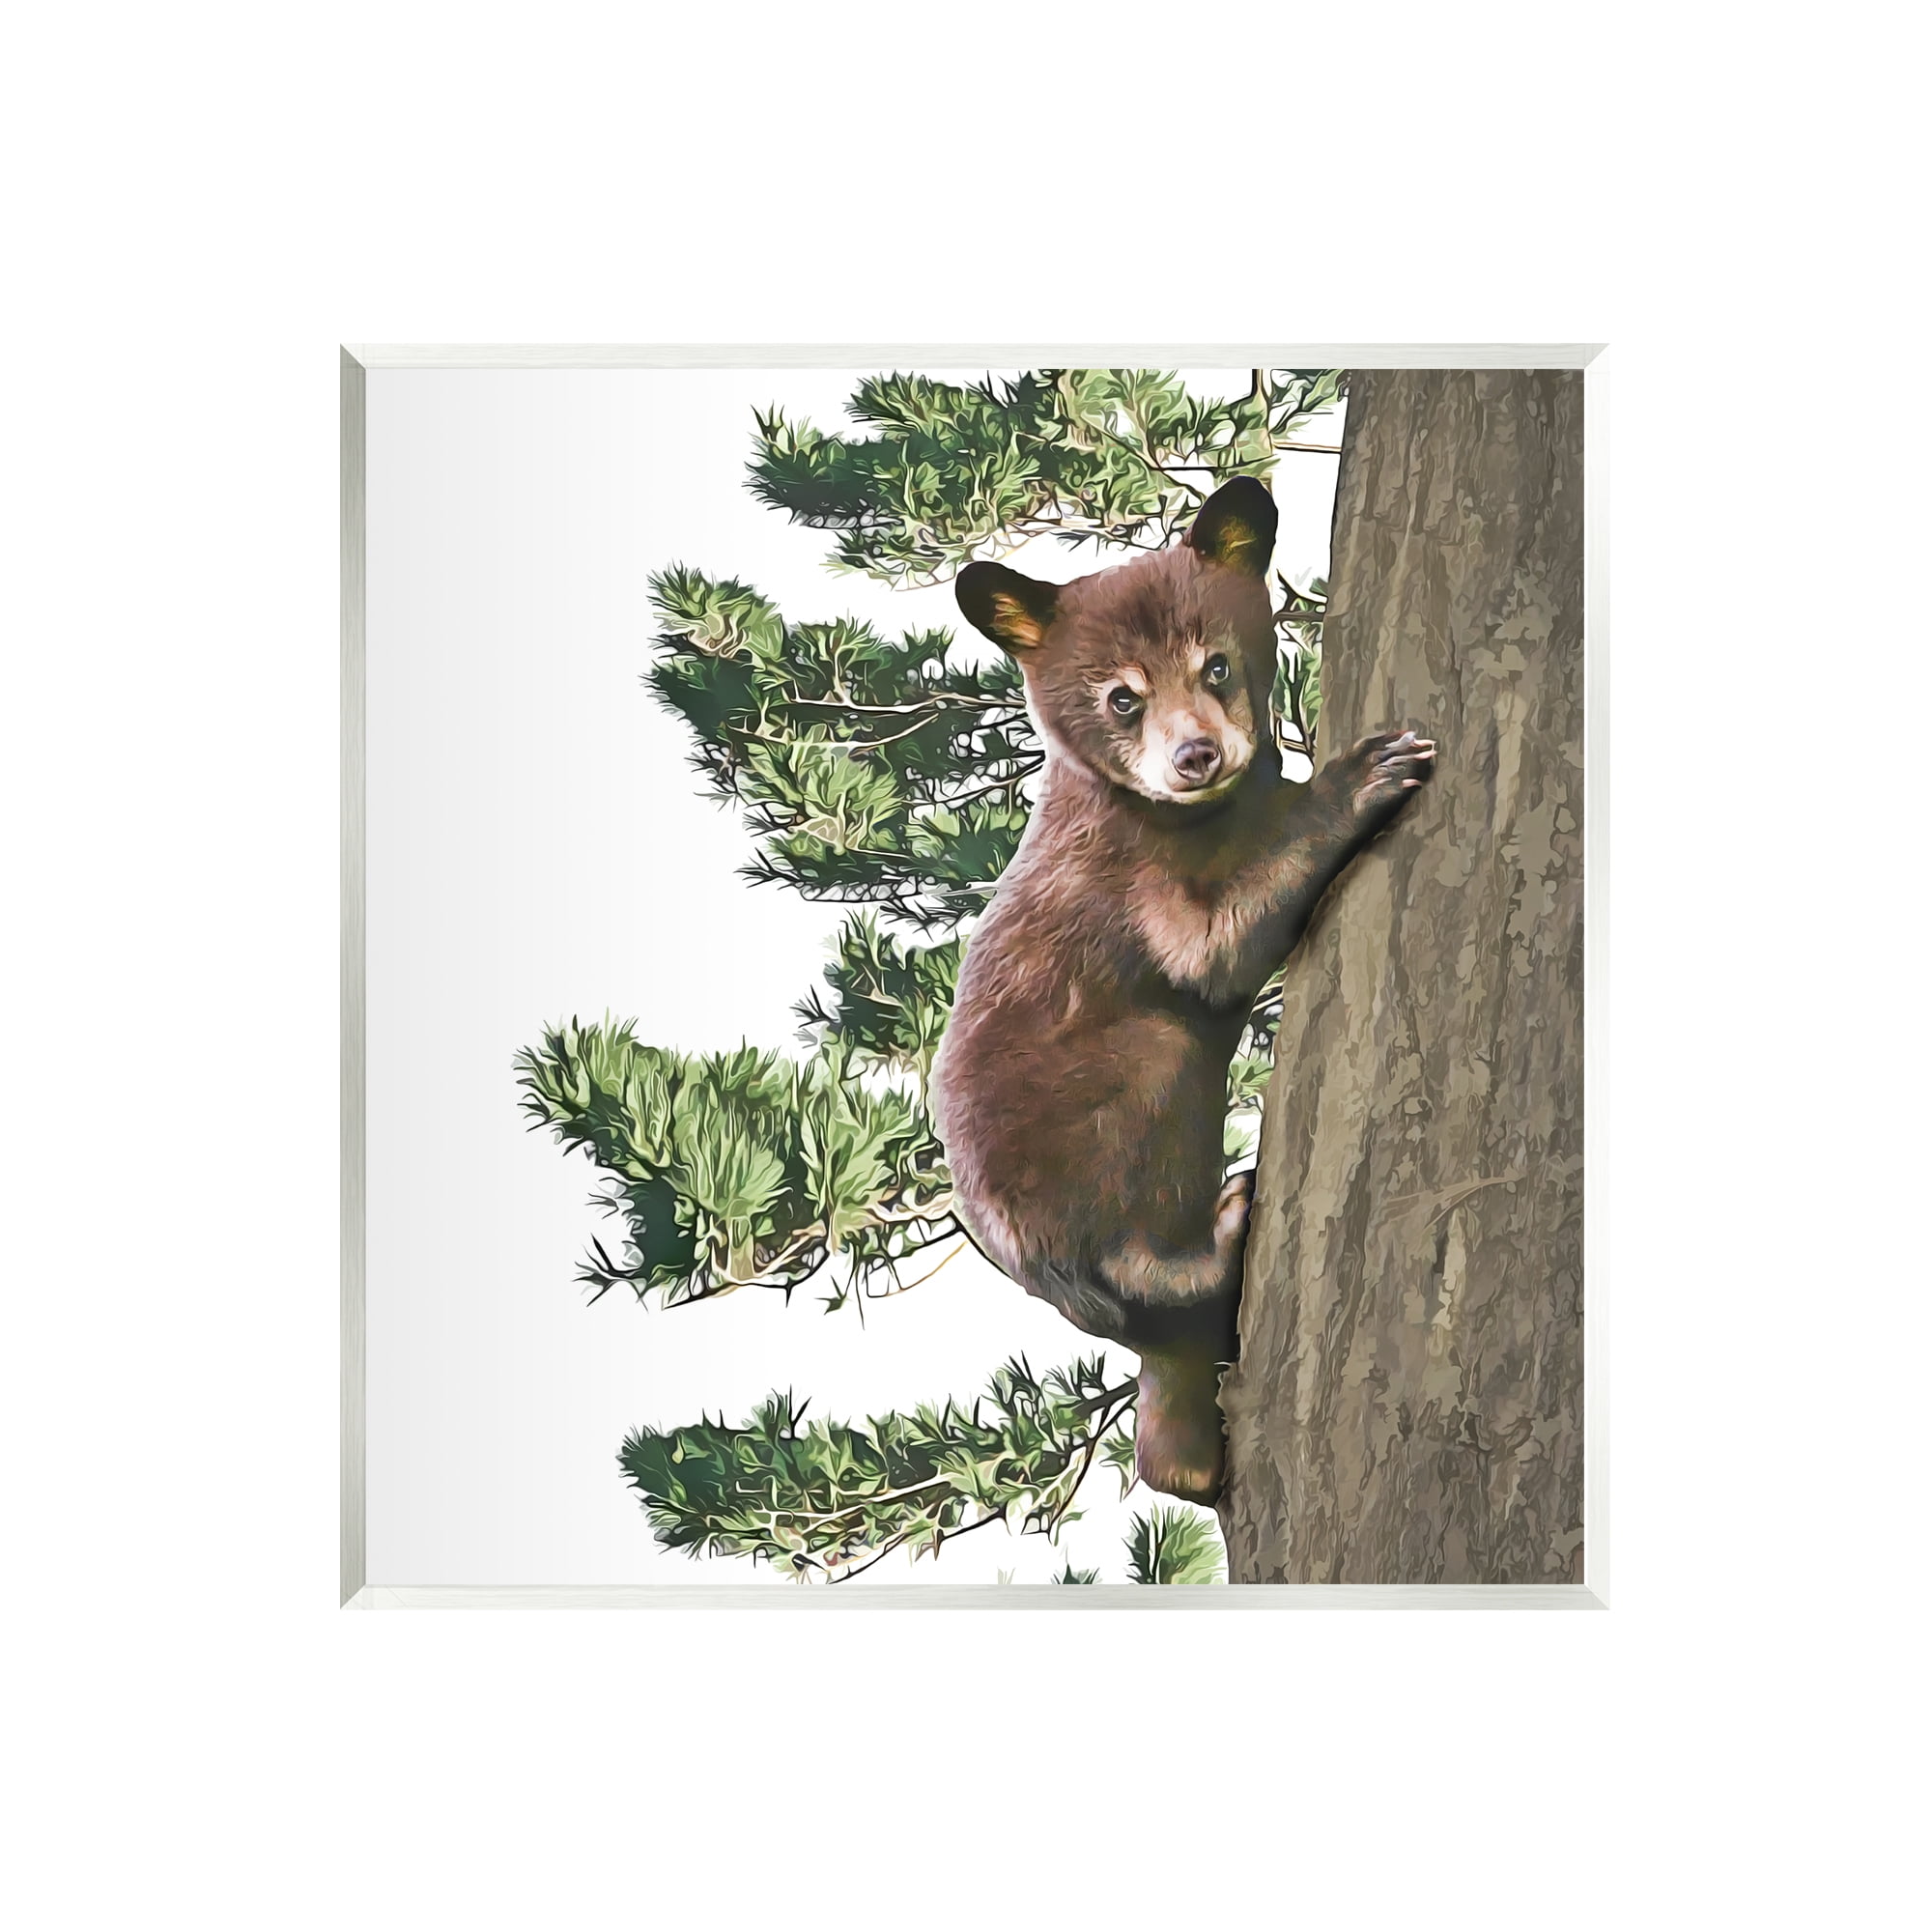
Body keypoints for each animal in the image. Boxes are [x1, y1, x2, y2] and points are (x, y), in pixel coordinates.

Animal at [931, 475, 1435, 1506]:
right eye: (1121, 698)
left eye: (1218, 666)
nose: (1195, 756)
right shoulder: (1126, 873)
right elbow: (1212, 949)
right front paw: (1363, 774)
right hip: (1087, 1141)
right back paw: (1221, 1233)